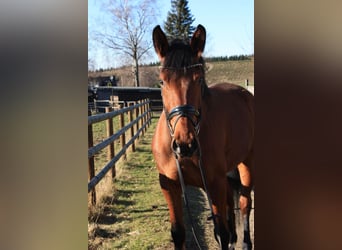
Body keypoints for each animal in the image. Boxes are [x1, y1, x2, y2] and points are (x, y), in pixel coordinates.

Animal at [152, 23, 254, 250]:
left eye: (198, 80)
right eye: (162, 82)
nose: (185, 144)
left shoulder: (214, 183)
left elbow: (221, 233)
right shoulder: (170, 186)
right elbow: (179, 233)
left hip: (246, 163)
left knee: (244, 204)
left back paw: (244, 243)